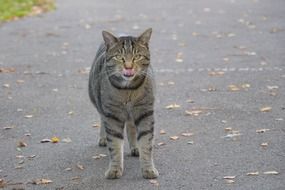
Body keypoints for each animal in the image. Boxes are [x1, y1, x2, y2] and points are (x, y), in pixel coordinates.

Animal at [87, 28, 159, 180]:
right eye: (119, 57)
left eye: (137, 56)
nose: (128, 67)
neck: (128, 90)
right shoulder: (112, 115)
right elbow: (114, 145)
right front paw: (115, 169)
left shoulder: (145, 112)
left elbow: (146, 142)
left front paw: (148, 169)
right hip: (98, 101)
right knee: (102, 119)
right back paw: (103, 138)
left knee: (131, 126)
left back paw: (135, 147)